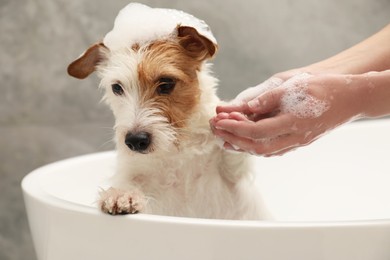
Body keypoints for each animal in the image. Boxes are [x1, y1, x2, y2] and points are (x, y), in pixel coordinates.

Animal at [68, 3, 268, 220]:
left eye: (166, 84)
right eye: (117, 88)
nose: (135, 141)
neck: (177, 151)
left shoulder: (233, 175)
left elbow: (232, 156)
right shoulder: (135, 169)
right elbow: (129, 180)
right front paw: (121, 195)